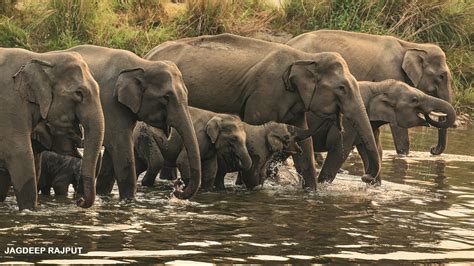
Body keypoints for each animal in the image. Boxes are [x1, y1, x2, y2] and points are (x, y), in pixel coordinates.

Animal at [0, 48, 103, 210]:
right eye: (78, 93)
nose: (79, 202)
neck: (45, 57)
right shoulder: (10, 105)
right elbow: (20, 156)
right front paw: (30, 210)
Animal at [62, 45, 201, 200]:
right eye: (166, 97)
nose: (178, 187)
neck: (143, 64)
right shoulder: (109, 102)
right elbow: (121, 147)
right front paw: (129, 200)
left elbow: (112, 154)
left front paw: (104, 194)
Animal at [144, 33, 382, 187]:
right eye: (342, 88)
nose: (366, 178)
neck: (304, 56)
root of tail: (149, 52)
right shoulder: (263, 94)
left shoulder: (294, 103)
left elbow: (305, 146)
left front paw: (311, 194)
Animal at [286, 30, 454, 156]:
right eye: (442, 76)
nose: (432, 150)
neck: (411, 46)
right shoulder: (390, 72)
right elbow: (396, 125)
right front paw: (404, 155)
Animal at [312, 79, 456, 183]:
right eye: (415, 100)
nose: (432, 149)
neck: (378, 86)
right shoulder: (348, 120)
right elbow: (339, 149)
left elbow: (374, 151)